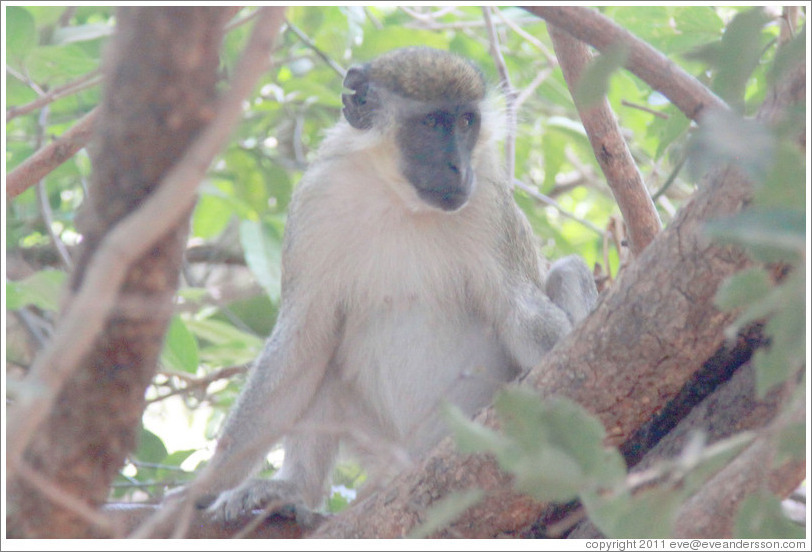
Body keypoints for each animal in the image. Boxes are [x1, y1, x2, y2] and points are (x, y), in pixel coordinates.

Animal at [200, 47, 600, 520]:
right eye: (432, 124)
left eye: (466, 122)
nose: (458, 167)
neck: (396, 197)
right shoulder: (316, 200)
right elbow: (301, 343)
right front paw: (197, 491)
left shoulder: (488, 200)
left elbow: (521, 314)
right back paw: (296, 488)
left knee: (568, 271)